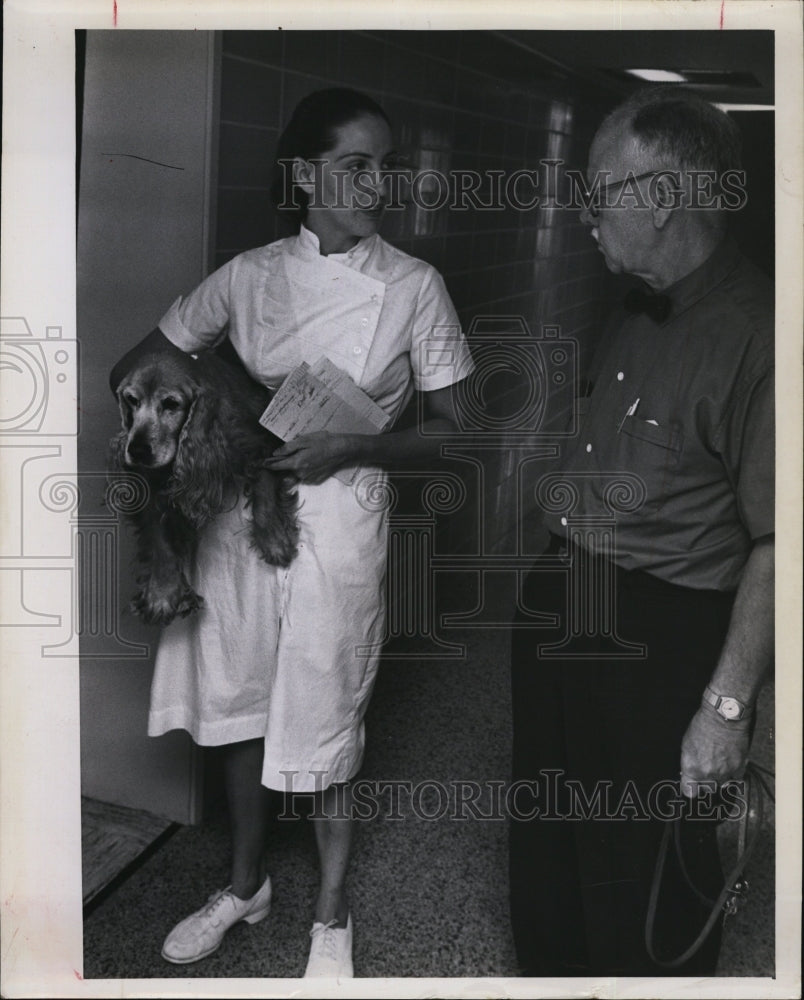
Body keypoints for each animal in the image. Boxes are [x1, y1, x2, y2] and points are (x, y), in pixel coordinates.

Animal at [110, 352, 298, 624]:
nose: (137, 450)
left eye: (171, 403)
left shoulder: (261, 439)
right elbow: (159, 538)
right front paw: (162, 594)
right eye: (132, 400)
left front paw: (274, 540)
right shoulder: (150, 481)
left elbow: (264, 489)